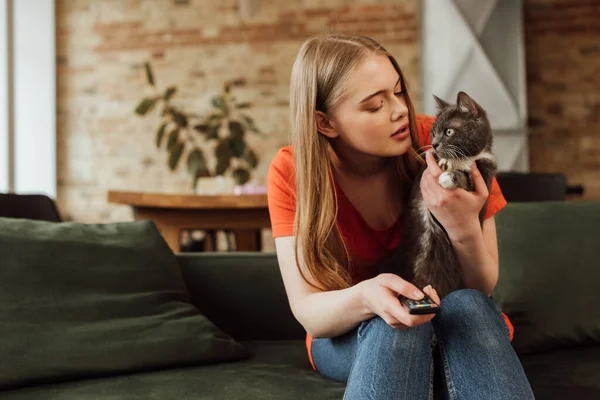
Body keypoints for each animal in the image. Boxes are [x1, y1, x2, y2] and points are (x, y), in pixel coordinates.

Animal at [406, 90, 500, 296]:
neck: (466, 157)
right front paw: (442, 161)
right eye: (433, 133)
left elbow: (466, 179)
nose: (434, 144)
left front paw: (448, 177)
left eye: (449, 132)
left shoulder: (484, 174)